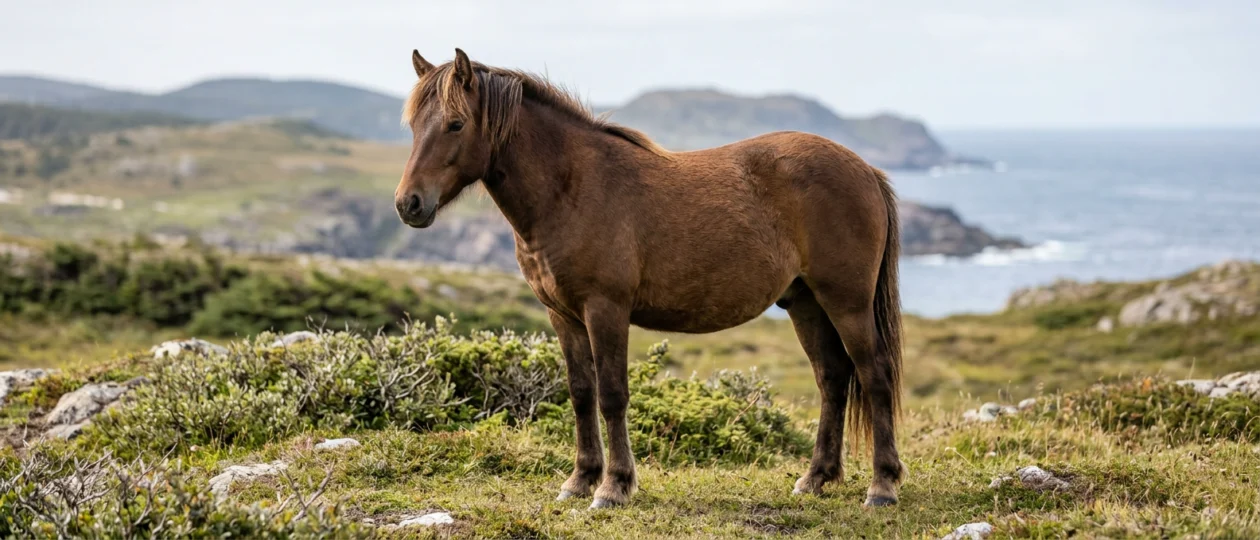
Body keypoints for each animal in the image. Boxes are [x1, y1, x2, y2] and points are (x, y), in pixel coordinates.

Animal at [395, 48, 905, 510]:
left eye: (455, 124)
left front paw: (613, 487)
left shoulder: (605, 309)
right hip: (805, 302)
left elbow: (612, 395)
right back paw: (815, 478)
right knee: (832, 378)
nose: (409, 204)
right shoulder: (563, 315)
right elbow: (581, 394)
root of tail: (865, 169)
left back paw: (881, 486)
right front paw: (579, 481)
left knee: (873, 374)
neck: (571, 188)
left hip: (846, 302)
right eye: (414, 126)